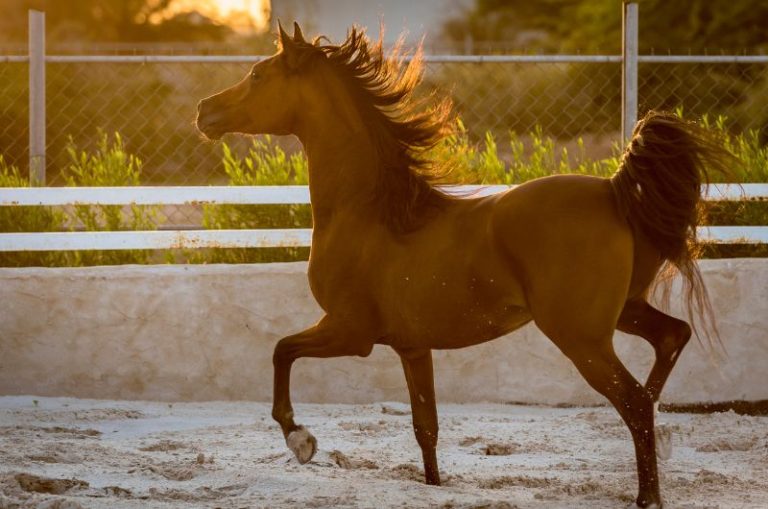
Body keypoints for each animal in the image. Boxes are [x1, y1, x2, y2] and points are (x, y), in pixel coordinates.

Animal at [196, 22, 734, 509]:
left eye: (258, 74)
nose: (204, 111)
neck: (370, 212)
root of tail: (614, 192)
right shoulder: (412, 347)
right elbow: (425, 428)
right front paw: (434, 486)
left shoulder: (350, 331)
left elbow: (281, 351)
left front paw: (301, 440)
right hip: (622, 311)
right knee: (671, 339)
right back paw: (664, 435)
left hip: (581, 336)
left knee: (636, 402)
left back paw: (648, 494)